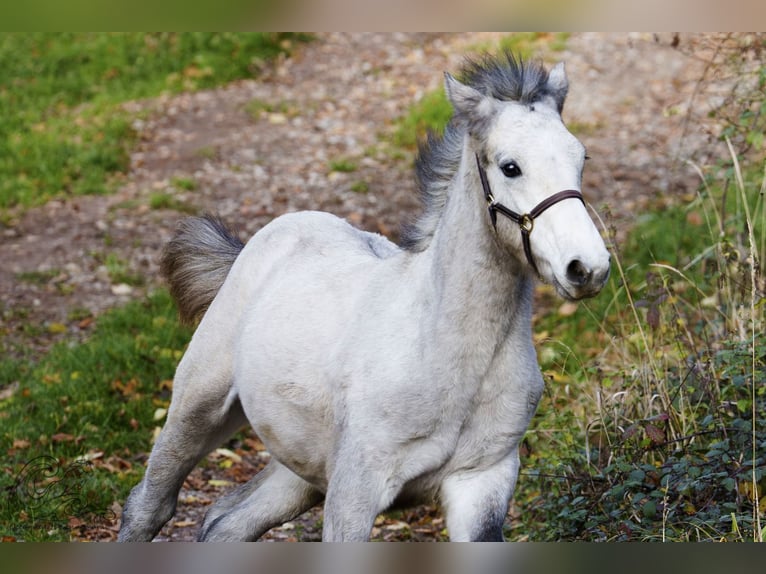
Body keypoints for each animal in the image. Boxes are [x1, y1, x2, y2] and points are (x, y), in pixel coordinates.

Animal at [118, 51, 611, 542]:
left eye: (581, 157)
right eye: (510, 166)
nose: (587, 268)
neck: (443, 353)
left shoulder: (482, 485)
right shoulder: (354, 490)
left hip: (301, 470)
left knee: (225, 522)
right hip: (200, 404)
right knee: (149, 507)